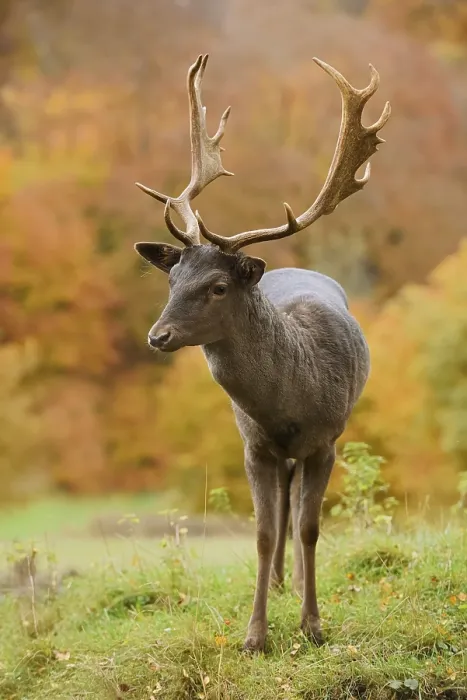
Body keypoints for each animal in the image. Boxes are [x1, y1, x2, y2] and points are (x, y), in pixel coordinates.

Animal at [134, 54, 390, 652]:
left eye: (218, 286)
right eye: (173, 277)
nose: (157, 336)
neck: (288, 401)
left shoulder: (327, 440)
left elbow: (310, 528)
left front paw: (313, 625)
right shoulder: (253, 444)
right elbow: (262, 531)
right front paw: (255, 636)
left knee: (297, 509)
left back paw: (293, 586)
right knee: (283, 506)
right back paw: (277, 585)